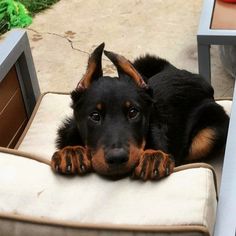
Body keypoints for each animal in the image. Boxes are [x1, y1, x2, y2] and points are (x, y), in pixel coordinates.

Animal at [51, 43, 229, 181]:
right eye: (95, 116)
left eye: (133, 112)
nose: (117, 158)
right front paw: (72, 153)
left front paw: (153, 158)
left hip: (210, 133)